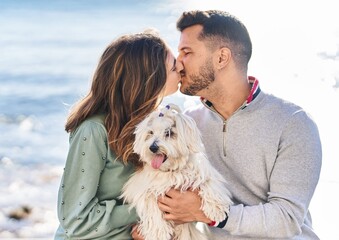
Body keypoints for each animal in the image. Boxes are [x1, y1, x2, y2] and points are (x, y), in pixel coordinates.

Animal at [121, 103, 232, 240]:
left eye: (168, 132)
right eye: (150, 132)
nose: (153, 147)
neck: (171, 171)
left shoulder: (202, 171)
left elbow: (209, 182)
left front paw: (216, 210)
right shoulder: (141, 189)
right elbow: (150, 204)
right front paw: (159, 232)